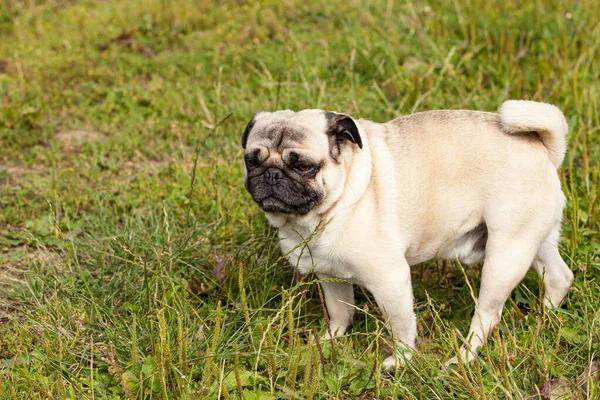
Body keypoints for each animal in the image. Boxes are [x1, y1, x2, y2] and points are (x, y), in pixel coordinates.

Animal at [241, 100, 576, 368]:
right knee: (559, 276)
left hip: (505, 256)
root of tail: (543, 147)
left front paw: (401, 361)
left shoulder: (390, 280)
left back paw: (462, 359)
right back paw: (543, 318)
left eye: (304, 167)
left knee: (488, 316)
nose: (271, 174)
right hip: (534, 241)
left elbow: (401, 327)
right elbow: (339, 312)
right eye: (251, 161)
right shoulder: (331, 277)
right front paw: (330, 341)